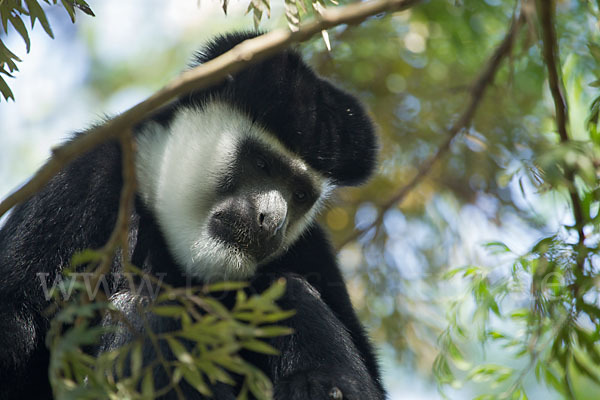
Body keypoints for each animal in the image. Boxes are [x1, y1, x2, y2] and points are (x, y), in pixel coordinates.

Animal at [0, 32, 384, 400]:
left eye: (300, 194)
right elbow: (16, 316)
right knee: (140, 309)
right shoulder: (78, 183)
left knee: (288, 288)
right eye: (262, 163)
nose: (271, 219)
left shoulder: (310, 246)